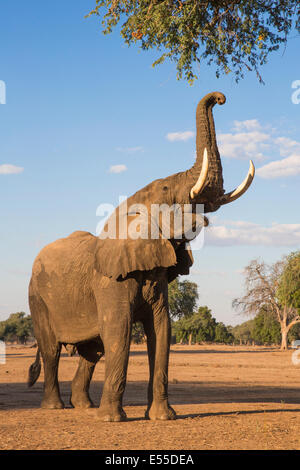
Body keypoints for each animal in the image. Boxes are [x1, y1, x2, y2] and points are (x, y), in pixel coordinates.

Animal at [27, 92, 254, 422]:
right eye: (166, 187)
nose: (220, 98)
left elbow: (161, 331)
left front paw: (163, 417)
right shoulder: (110, 280)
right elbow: (119, 331)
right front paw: (112, 420)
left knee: (92, 351)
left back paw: (85, 407)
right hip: (37, 297)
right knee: (51, 349)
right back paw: (56, 407)